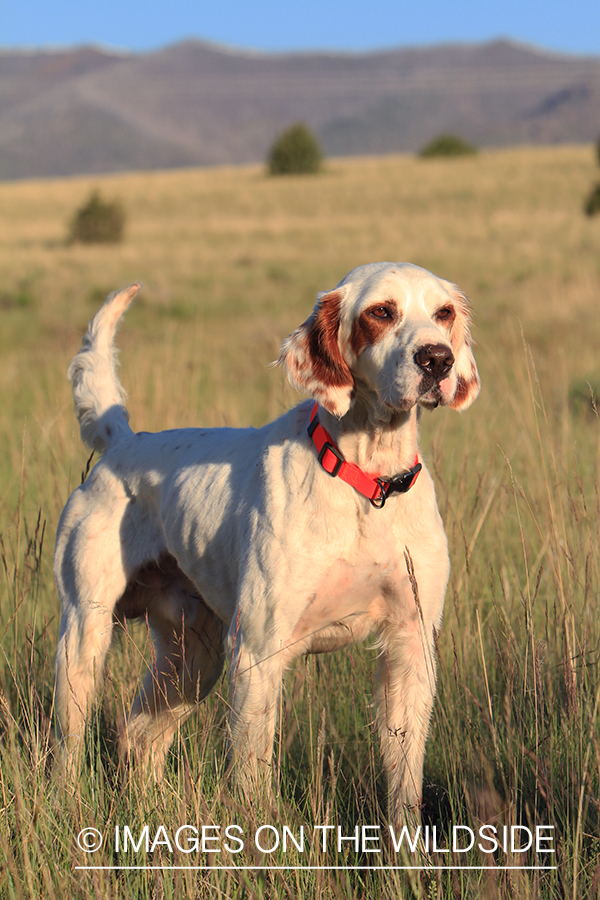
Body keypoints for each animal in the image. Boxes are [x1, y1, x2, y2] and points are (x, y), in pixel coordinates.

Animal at [54, 262, 480, 824]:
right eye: (381, 312)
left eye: (444, 313)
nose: (437, 359)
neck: (366, 482)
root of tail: (122, 442)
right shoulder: (258, 650)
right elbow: (254, 775)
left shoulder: (410, 646)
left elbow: (404, 781)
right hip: (86, 634)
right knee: (67, 748)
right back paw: (65, 807)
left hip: (193, 658)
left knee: (139, 735)